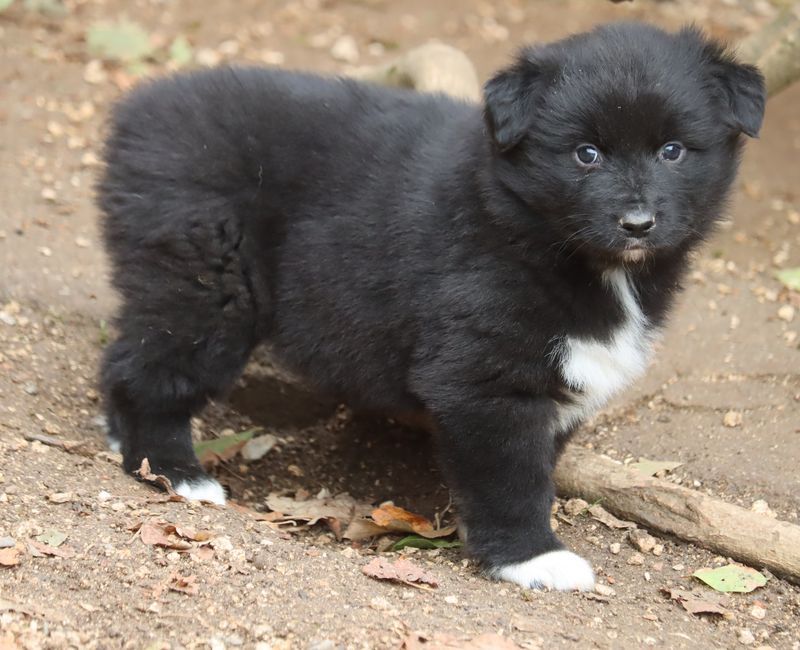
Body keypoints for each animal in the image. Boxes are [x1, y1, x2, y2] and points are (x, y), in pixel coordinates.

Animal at [97, 22, 764, 588]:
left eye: (673, 150)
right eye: (586, 154)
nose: (638, 223)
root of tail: (137, 112)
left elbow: (533, 461)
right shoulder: (485, 377)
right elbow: (512, 475)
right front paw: (531, 557)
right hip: (207, 286)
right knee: (150, 374)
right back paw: (175, 471)